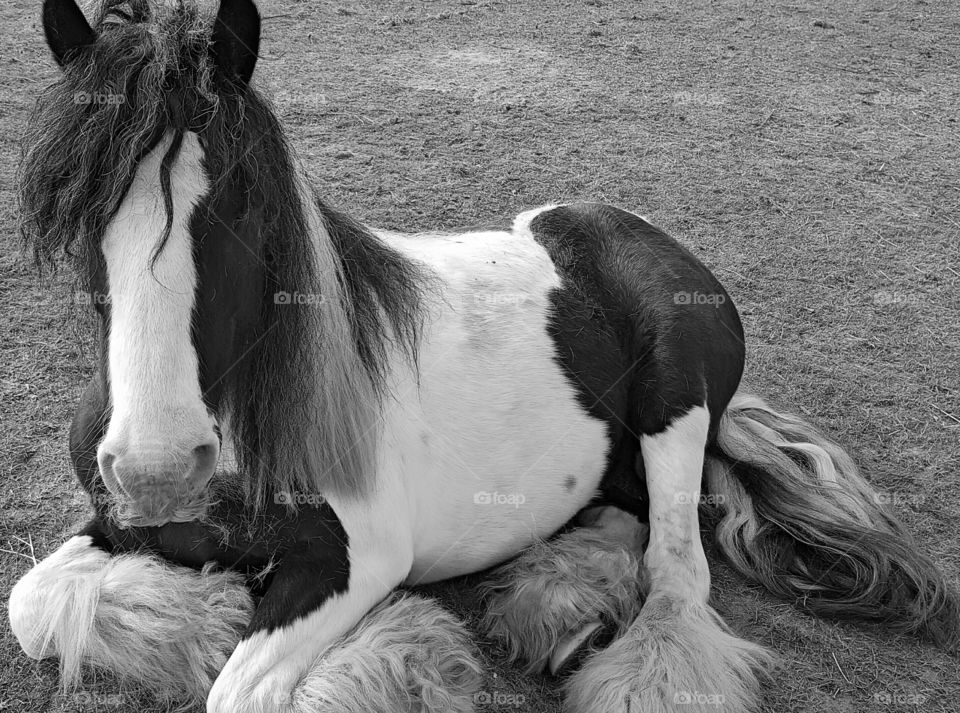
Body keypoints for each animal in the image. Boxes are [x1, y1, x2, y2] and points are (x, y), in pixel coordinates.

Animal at [9, 1, 960, 712]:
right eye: (75, 205)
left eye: (242, 197)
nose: (160, 467)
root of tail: (642, 233)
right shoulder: (113, 518)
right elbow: (28, 601)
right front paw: (200, 614)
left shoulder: (353, 559)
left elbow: (241, 691)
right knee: (619, 510)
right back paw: (563, 606)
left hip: (675, 411)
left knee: (676, 568)